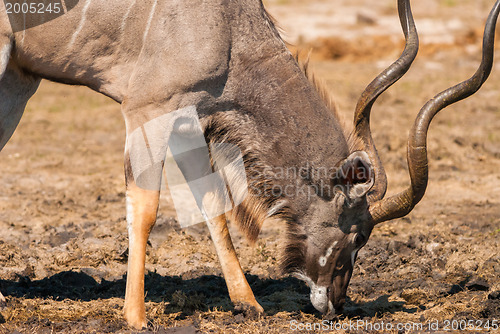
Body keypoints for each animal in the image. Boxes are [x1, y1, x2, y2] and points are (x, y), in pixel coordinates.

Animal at [0, 0, 498, 328]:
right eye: (359, 235)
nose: (335, 304)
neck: (228, 29)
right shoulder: (147, 110)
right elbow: (145, 209)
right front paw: (136, 317)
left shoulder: (189, 119)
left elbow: (213, 204)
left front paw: (249, 305)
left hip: (18, 81)